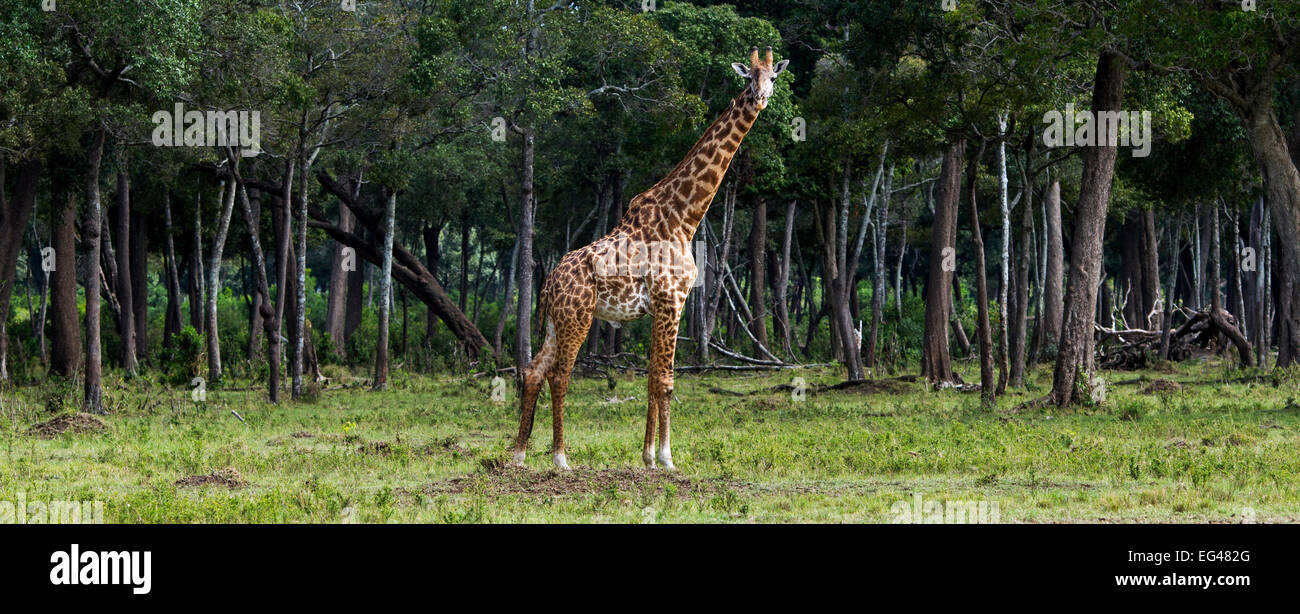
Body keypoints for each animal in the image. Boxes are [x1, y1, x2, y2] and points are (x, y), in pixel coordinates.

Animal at [512, 46, 785, 470]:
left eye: (773, 77)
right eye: (747, 76)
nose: (760, 98)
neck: (684, 217)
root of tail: (549, 282)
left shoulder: (663, 305)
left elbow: (654, 378)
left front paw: (648, 457)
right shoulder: (671, 299)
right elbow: (666, 381)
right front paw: (668, 458)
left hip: (557, 320)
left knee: (533, 370)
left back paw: (520, 455)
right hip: (578, 317)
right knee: (560, 375)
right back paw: (560, 458)